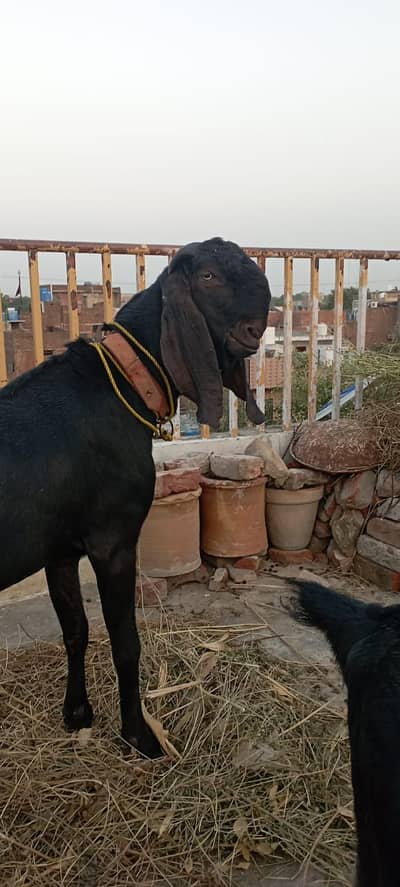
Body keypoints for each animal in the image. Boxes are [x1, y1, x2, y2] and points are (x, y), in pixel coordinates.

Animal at [0, 237, 270, 757]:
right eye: (207, 276)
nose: (255, 327)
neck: (124, 381)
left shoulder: (60, 550)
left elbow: (76, 630)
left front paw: (78, 714)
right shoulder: (114, 541)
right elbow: (126, 642)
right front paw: (139, 734)